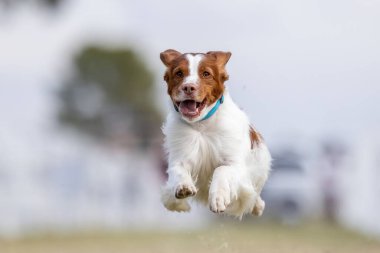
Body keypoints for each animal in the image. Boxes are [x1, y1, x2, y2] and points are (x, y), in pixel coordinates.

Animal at [159, 49, 272, 217]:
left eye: (206, 73)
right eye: (179, 73)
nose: (188, 87)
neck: (202, 125)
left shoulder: (235, 164)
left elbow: (221, 169)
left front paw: (218, 199)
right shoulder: (181, 154)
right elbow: (178, 170)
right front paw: (183, 187)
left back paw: (258, 206)